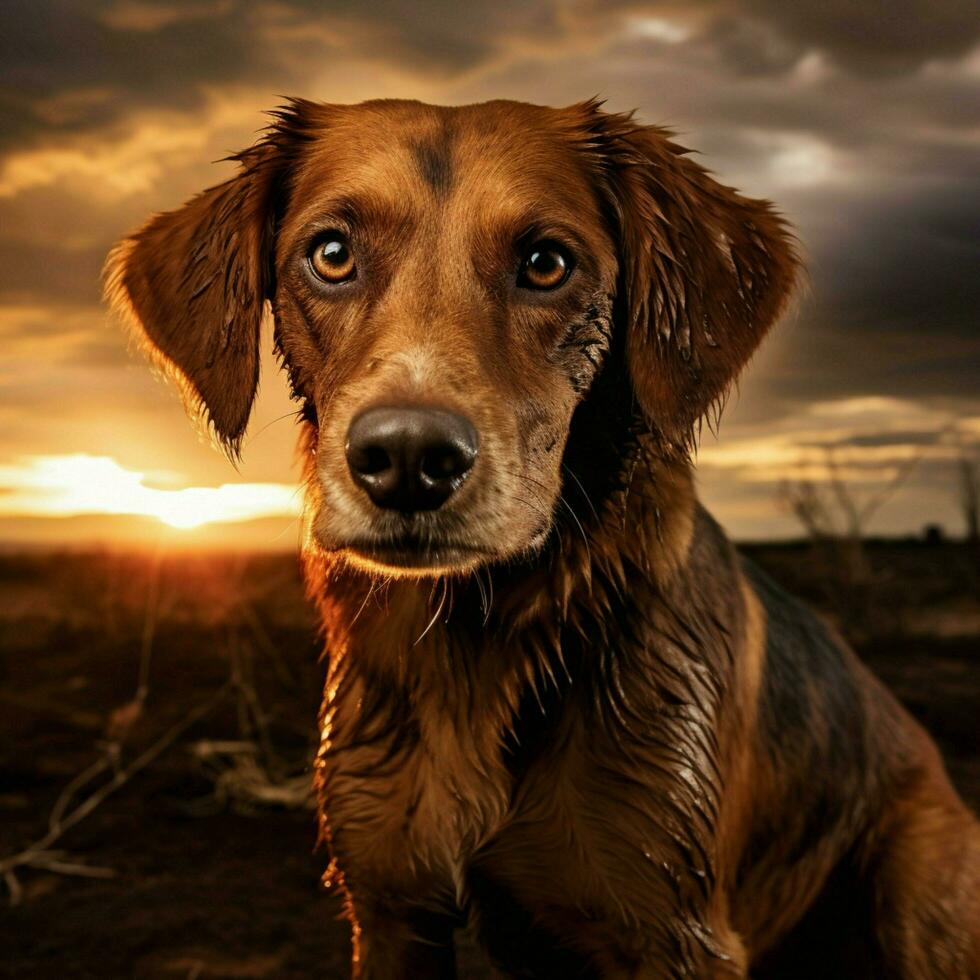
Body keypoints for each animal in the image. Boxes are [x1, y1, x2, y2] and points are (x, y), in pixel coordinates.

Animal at [107, 101, 980, 980]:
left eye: (547, 262)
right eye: (331, 254)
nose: (409, 459)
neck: (475, 639)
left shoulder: (672, 930)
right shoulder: (389, 906)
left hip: (918, 895)